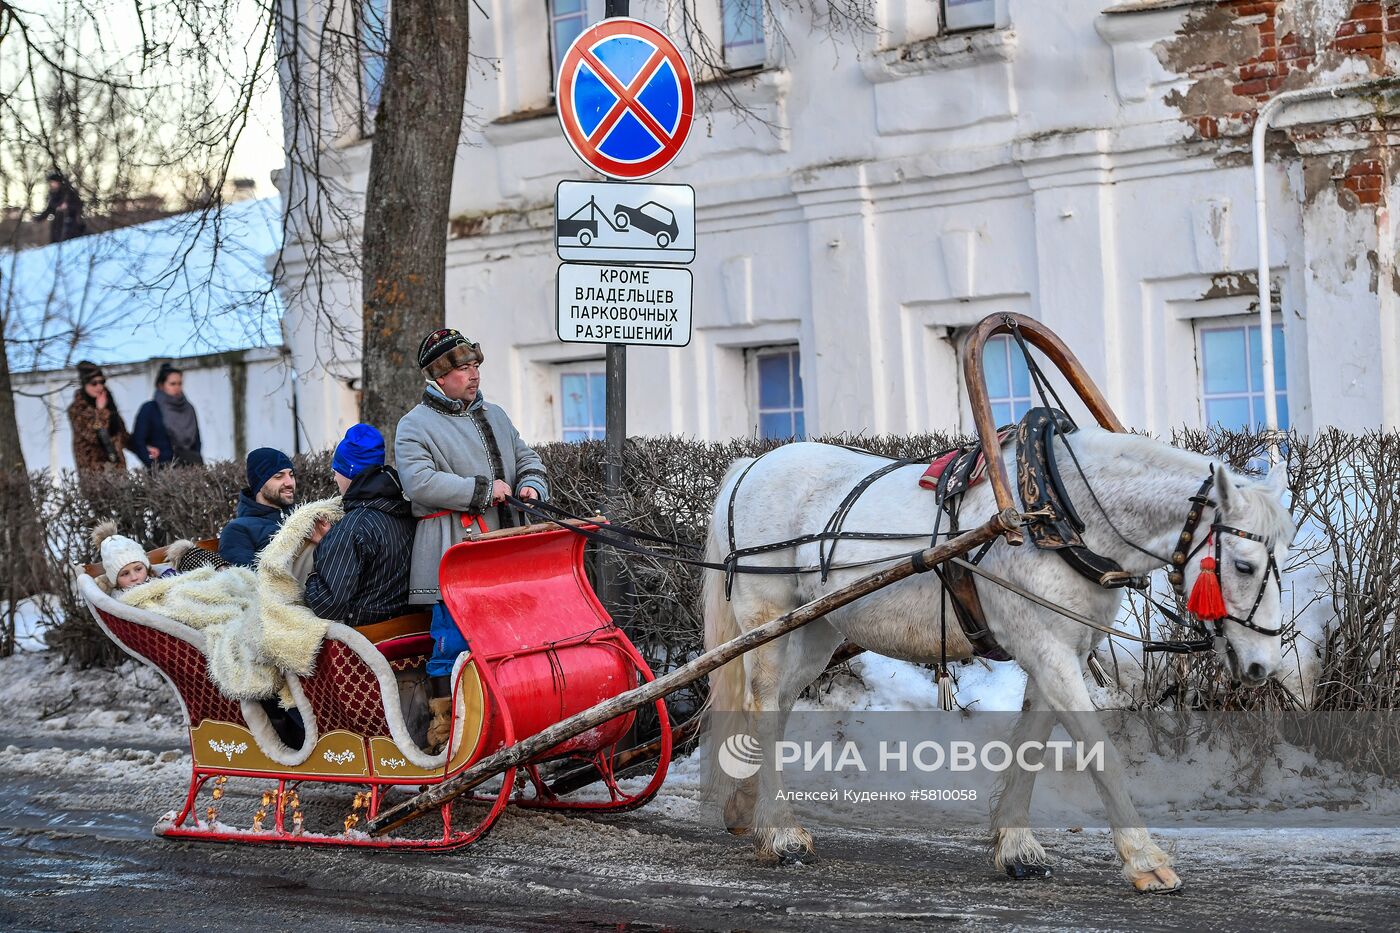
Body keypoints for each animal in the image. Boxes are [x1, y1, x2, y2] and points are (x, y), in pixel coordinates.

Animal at [705, 425, 1293, 890]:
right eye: (1243, 565)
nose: (1263, 665)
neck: (1058, 512)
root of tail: (750, 466)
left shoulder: (1057, 652)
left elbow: (1031, 744)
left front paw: (1017, 850)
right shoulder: (1049, 651)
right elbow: (1099, 751)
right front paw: (1144, 859)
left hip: (816, 627)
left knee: (778, 708)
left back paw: (753, 813)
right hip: (766, 620)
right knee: (763, 707)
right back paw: (781, 834)